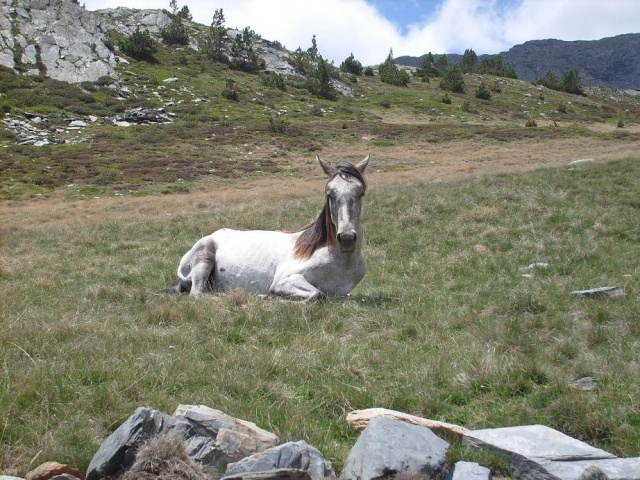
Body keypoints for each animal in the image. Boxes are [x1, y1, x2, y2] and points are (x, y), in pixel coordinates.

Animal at [166, 154, 370, 300]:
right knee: (198, 295)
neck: (341, 262)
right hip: (204, 259)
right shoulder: (285, 281)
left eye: (360, 192)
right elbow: (316, 294)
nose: (346, 238)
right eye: (329, 193)